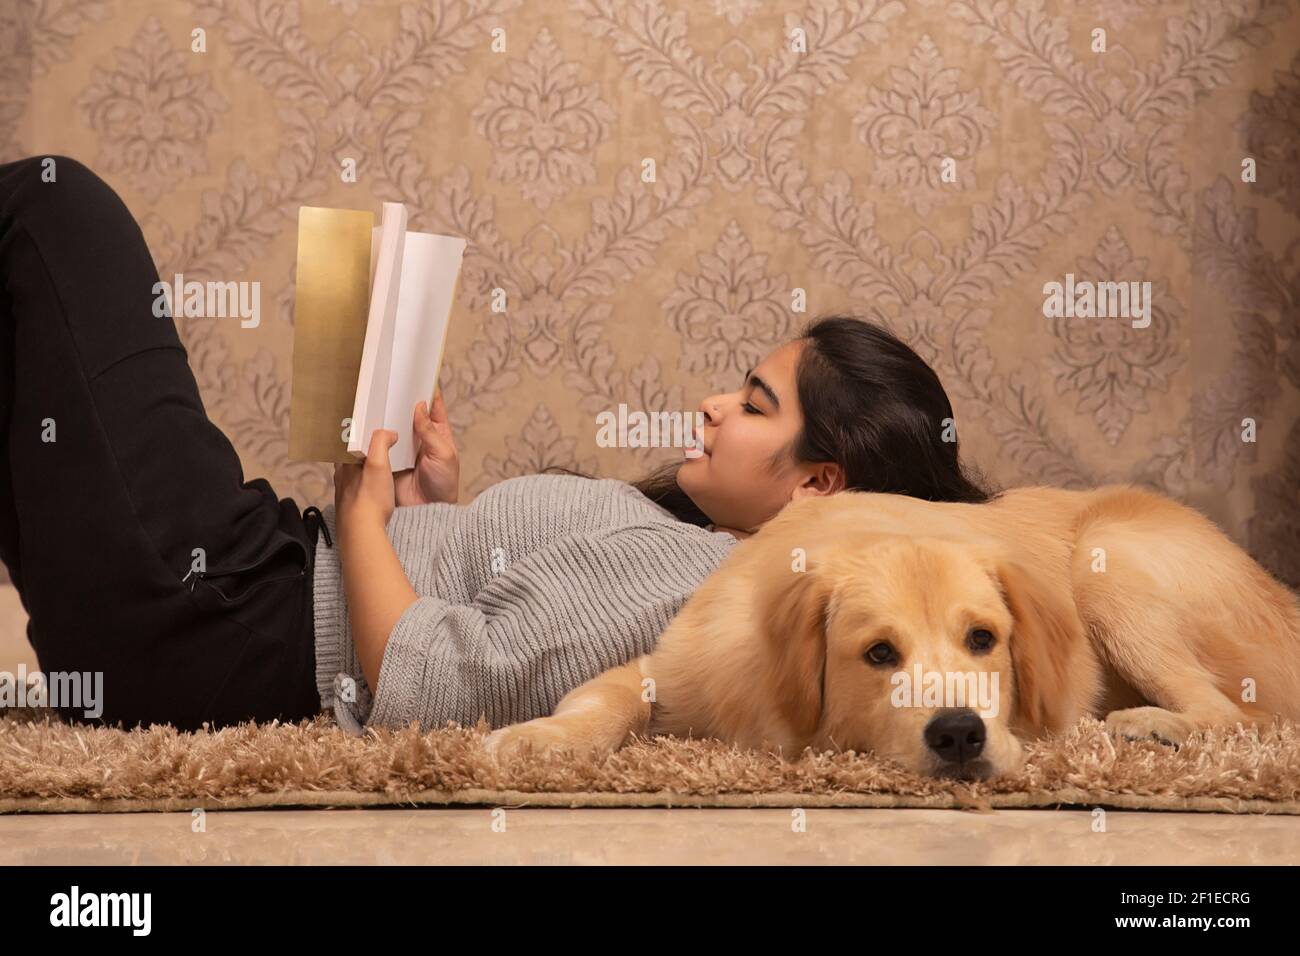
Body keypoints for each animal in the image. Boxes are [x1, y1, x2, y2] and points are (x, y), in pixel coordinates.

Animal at [483, 486, 1294, 780]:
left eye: (984, 640)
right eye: (878, 654)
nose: (960, 734)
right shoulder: (673, 666)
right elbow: (605, 701)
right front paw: (538, 741)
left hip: (1110, 562)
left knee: (1236, 715)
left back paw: (1148, 729)